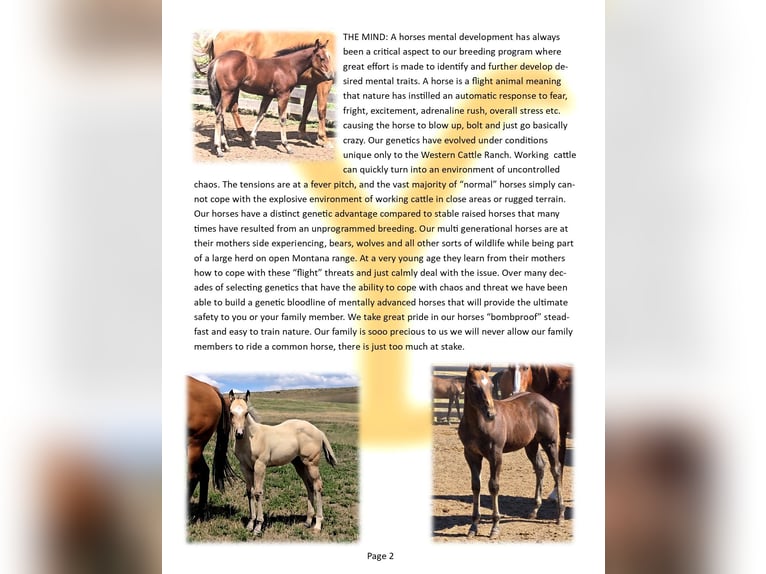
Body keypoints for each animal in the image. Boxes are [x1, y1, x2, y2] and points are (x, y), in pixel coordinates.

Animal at [195, 30, 335, 147]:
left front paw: (253, 142)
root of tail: (218, 60)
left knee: (221, 112)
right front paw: (288, 145)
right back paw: (221, 147)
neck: (286, 65)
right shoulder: (284, 94)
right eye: (322, 58)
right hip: (228, 92)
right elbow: (285, 118)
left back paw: (227, 144)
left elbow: (261, 115)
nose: (331, 75)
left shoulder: (269, 95)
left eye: (329, 57)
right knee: (223, 112)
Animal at [228, 390, 338, 535]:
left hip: (311, 463)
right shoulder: (245, 467)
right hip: (299, 464)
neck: (252, 438)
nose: (239, 434)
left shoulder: (260, 466)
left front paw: (258, 526)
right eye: (231, 412)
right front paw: (250, 524)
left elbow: (258, 493)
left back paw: (317, 524)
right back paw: (308, 521)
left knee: (317, 486)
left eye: (246, 413)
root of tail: (318, 431)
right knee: (309, 486)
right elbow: (249, 492)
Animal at [458, 366, 563, 538]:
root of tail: (548, 402)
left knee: (556, 470)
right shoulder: (471, 455)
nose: (491, 414)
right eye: (473, 385)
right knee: (540, 467)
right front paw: (473, 527)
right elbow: (476, 486)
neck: (477, 424)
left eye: (491, 386)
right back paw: (534, 510)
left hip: (550, 443)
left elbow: (494, 486)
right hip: (531, 444)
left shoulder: (495, 455)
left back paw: (560, 515)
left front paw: (495, 527)